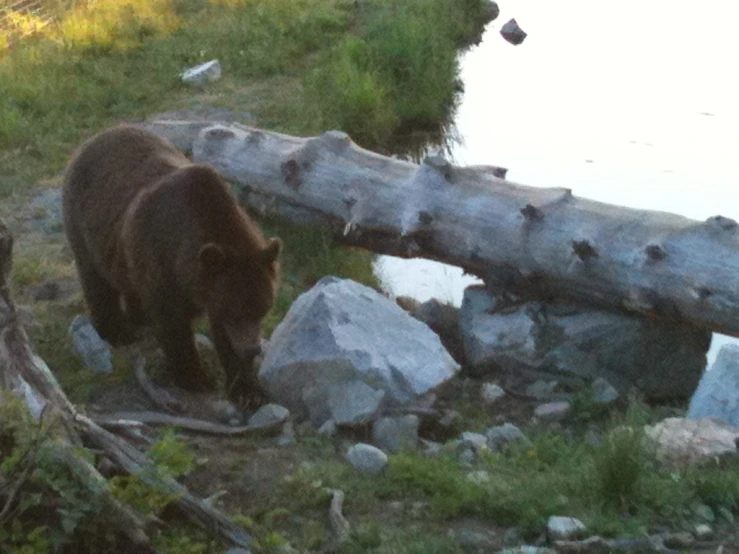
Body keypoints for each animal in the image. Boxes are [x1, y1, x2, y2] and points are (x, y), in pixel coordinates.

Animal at [62, 123, 282, 404]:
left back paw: (139, 317)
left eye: (263, 307)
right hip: (86, 222)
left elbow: (224, 335)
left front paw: (246, 389)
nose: (253, 349)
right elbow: (174, 326)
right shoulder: (165, 262)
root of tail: (97, 136)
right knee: (96, 280)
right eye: (236, 311)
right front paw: (197, 379)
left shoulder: (211, 282)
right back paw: (117, 331)